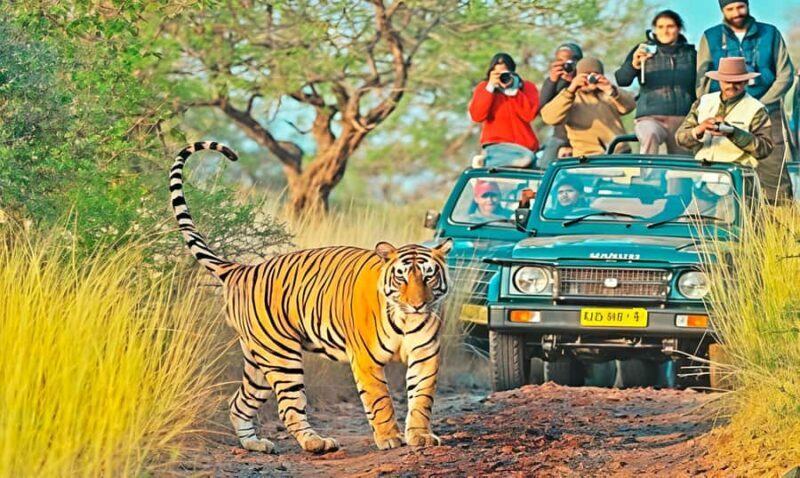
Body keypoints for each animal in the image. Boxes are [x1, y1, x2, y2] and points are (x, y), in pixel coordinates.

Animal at [169, 141, 453, 454]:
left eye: (428, 276)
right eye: (401, 277)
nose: (417, 305)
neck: (404, 320)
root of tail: (242, 269)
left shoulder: (425, 354)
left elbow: (422, 398)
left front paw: (420, 435)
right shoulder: (366, 360)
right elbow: (380, 401)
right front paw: (390, 438)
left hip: (257, 361)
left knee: (238, 403)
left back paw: (256, 444)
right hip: (281, 355)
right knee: (289, 407)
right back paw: (316, 442)